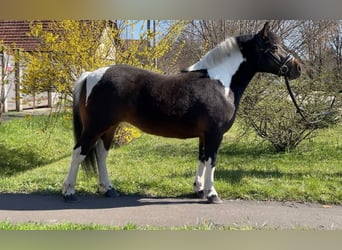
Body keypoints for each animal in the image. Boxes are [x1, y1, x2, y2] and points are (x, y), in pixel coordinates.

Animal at [62, 22, 300, 203]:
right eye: (275, 47)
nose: (298, 68)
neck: (220, 83)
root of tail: (91, 74)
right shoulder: (214, 133)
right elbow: (212, 161)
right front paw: (212, 194)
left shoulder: (205, 135)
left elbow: (202, 159)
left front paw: (199, 190)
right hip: (95, 127)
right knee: (78, 152)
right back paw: (69, 192)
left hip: (110, 127)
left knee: (101, 154)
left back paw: (109, 189)